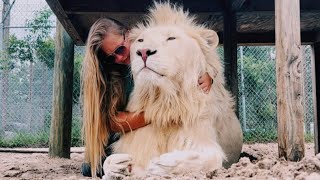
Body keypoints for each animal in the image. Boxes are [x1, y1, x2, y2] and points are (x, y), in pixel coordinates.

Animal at [102, 2, 242, 179]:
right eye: (141, 40)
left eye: (171, 38)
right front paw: (117, 166)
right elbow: (108, 163)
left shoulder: (204, 143)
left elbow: (205, 159)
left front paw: (160, 164)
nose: (143, 52)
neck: (164, 99)